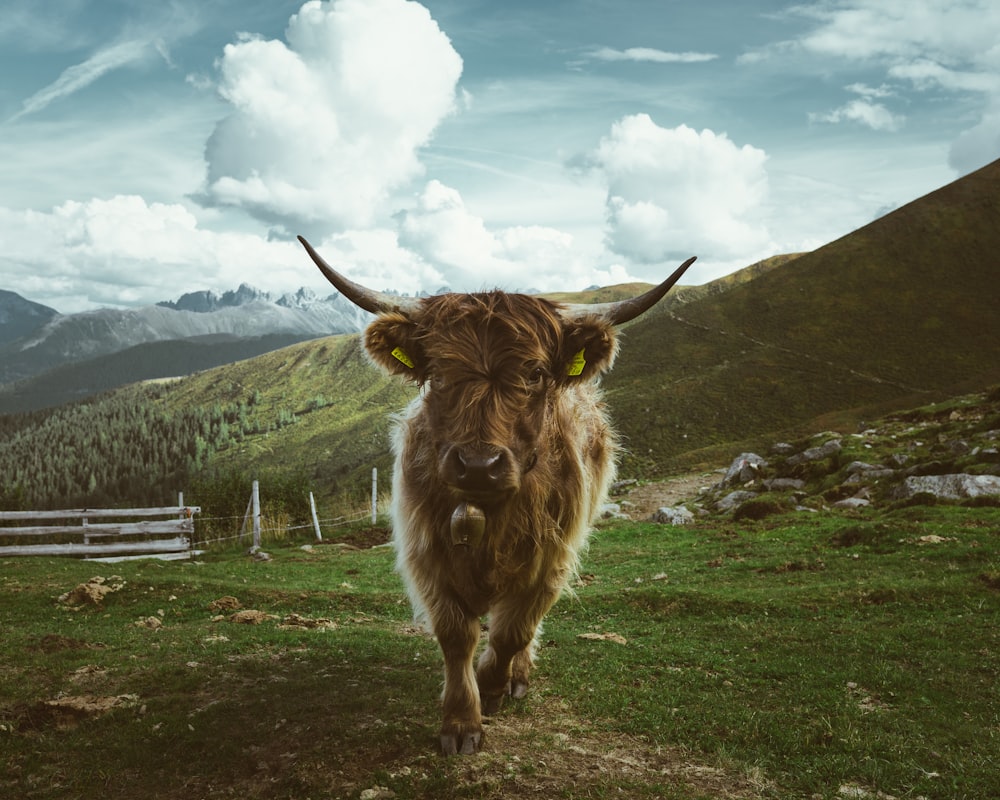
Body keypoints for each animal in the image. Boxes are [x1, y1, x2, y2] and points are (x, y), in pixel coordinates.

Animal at [298, 238, 696, 756]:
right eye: (439, 374)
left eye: (536, 374)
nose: (477, 465)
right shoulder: (426, 551)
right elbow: (455, 633)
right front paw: (461, 721)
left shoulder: (550, 557)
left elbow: (513, 630)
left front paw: (492, 684)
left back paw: (517, 678)